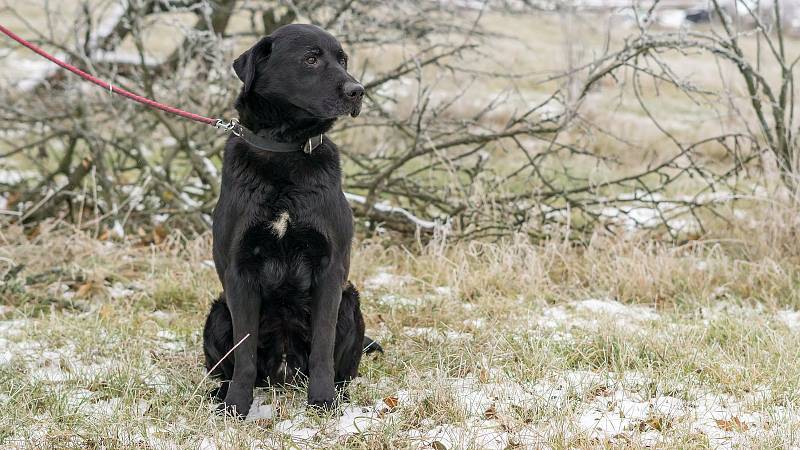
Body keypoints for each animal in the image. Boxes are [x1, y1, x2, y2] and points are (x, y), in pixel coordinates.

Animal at [205, 23, 382, 418]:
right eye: (311, 59)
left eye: (343, 59)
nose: (358, 91)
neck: (285, 149)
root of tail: (284, 371)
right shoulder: (240, 271)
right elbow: (244, 353)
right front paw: (237, 406)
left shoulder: (330, 268)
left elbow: (322, 347)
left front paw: (323, 400)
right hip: (218, 313)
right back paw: (220, 393)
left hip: (350, 303)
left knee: (342, 366)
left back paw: (341, 392)